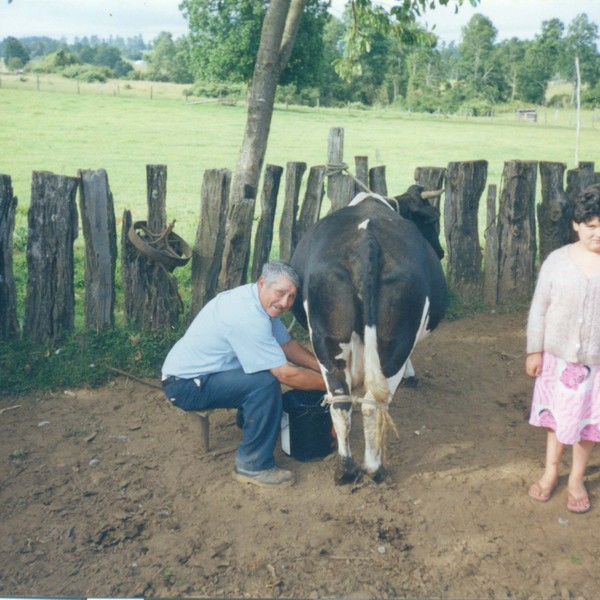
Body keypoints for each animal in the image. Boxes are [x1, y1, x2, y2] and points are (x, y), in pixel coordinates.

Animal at [290, 185, 446, 486]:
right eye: (433, 219)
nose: (442, 252)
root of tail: (366, 242)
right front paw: (412, 376)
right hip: (393, 345)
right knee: (373, 405)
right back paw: (374, 469)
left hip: (327, 342)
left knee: (340, 403)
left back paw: (345, 470)